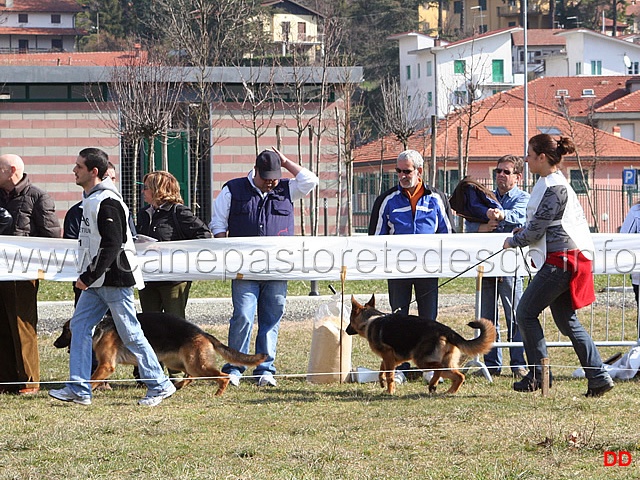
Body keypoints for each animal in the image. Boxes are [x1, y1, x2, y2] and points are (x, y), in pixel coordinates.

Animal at [52, 312, 268, 398]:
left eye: (64, 331)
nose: (54, 344)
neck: (99, 327)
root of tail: (203, 333)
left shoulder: (106, 366)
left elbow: (92, 378)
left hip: (197, 365)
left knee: (222, 376)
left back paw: (218, 393)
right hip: (179, 362)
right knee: (190, 376)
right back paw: (177, 386)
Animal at [348, 296, 498, 394]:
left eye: (349, 320)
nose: (345, 330)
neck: (369, 321)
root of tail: (446, 330)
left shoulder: (388, 356)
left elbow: (389, 375)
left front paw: (390, 391)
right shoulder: (389, 358)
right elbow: (381, 370)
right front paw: (381, 382)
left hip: (421, 360)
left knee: (439, 369)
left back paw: (434, 384)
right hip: (445, 363)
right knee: (459, 376)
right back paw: (448, 391)